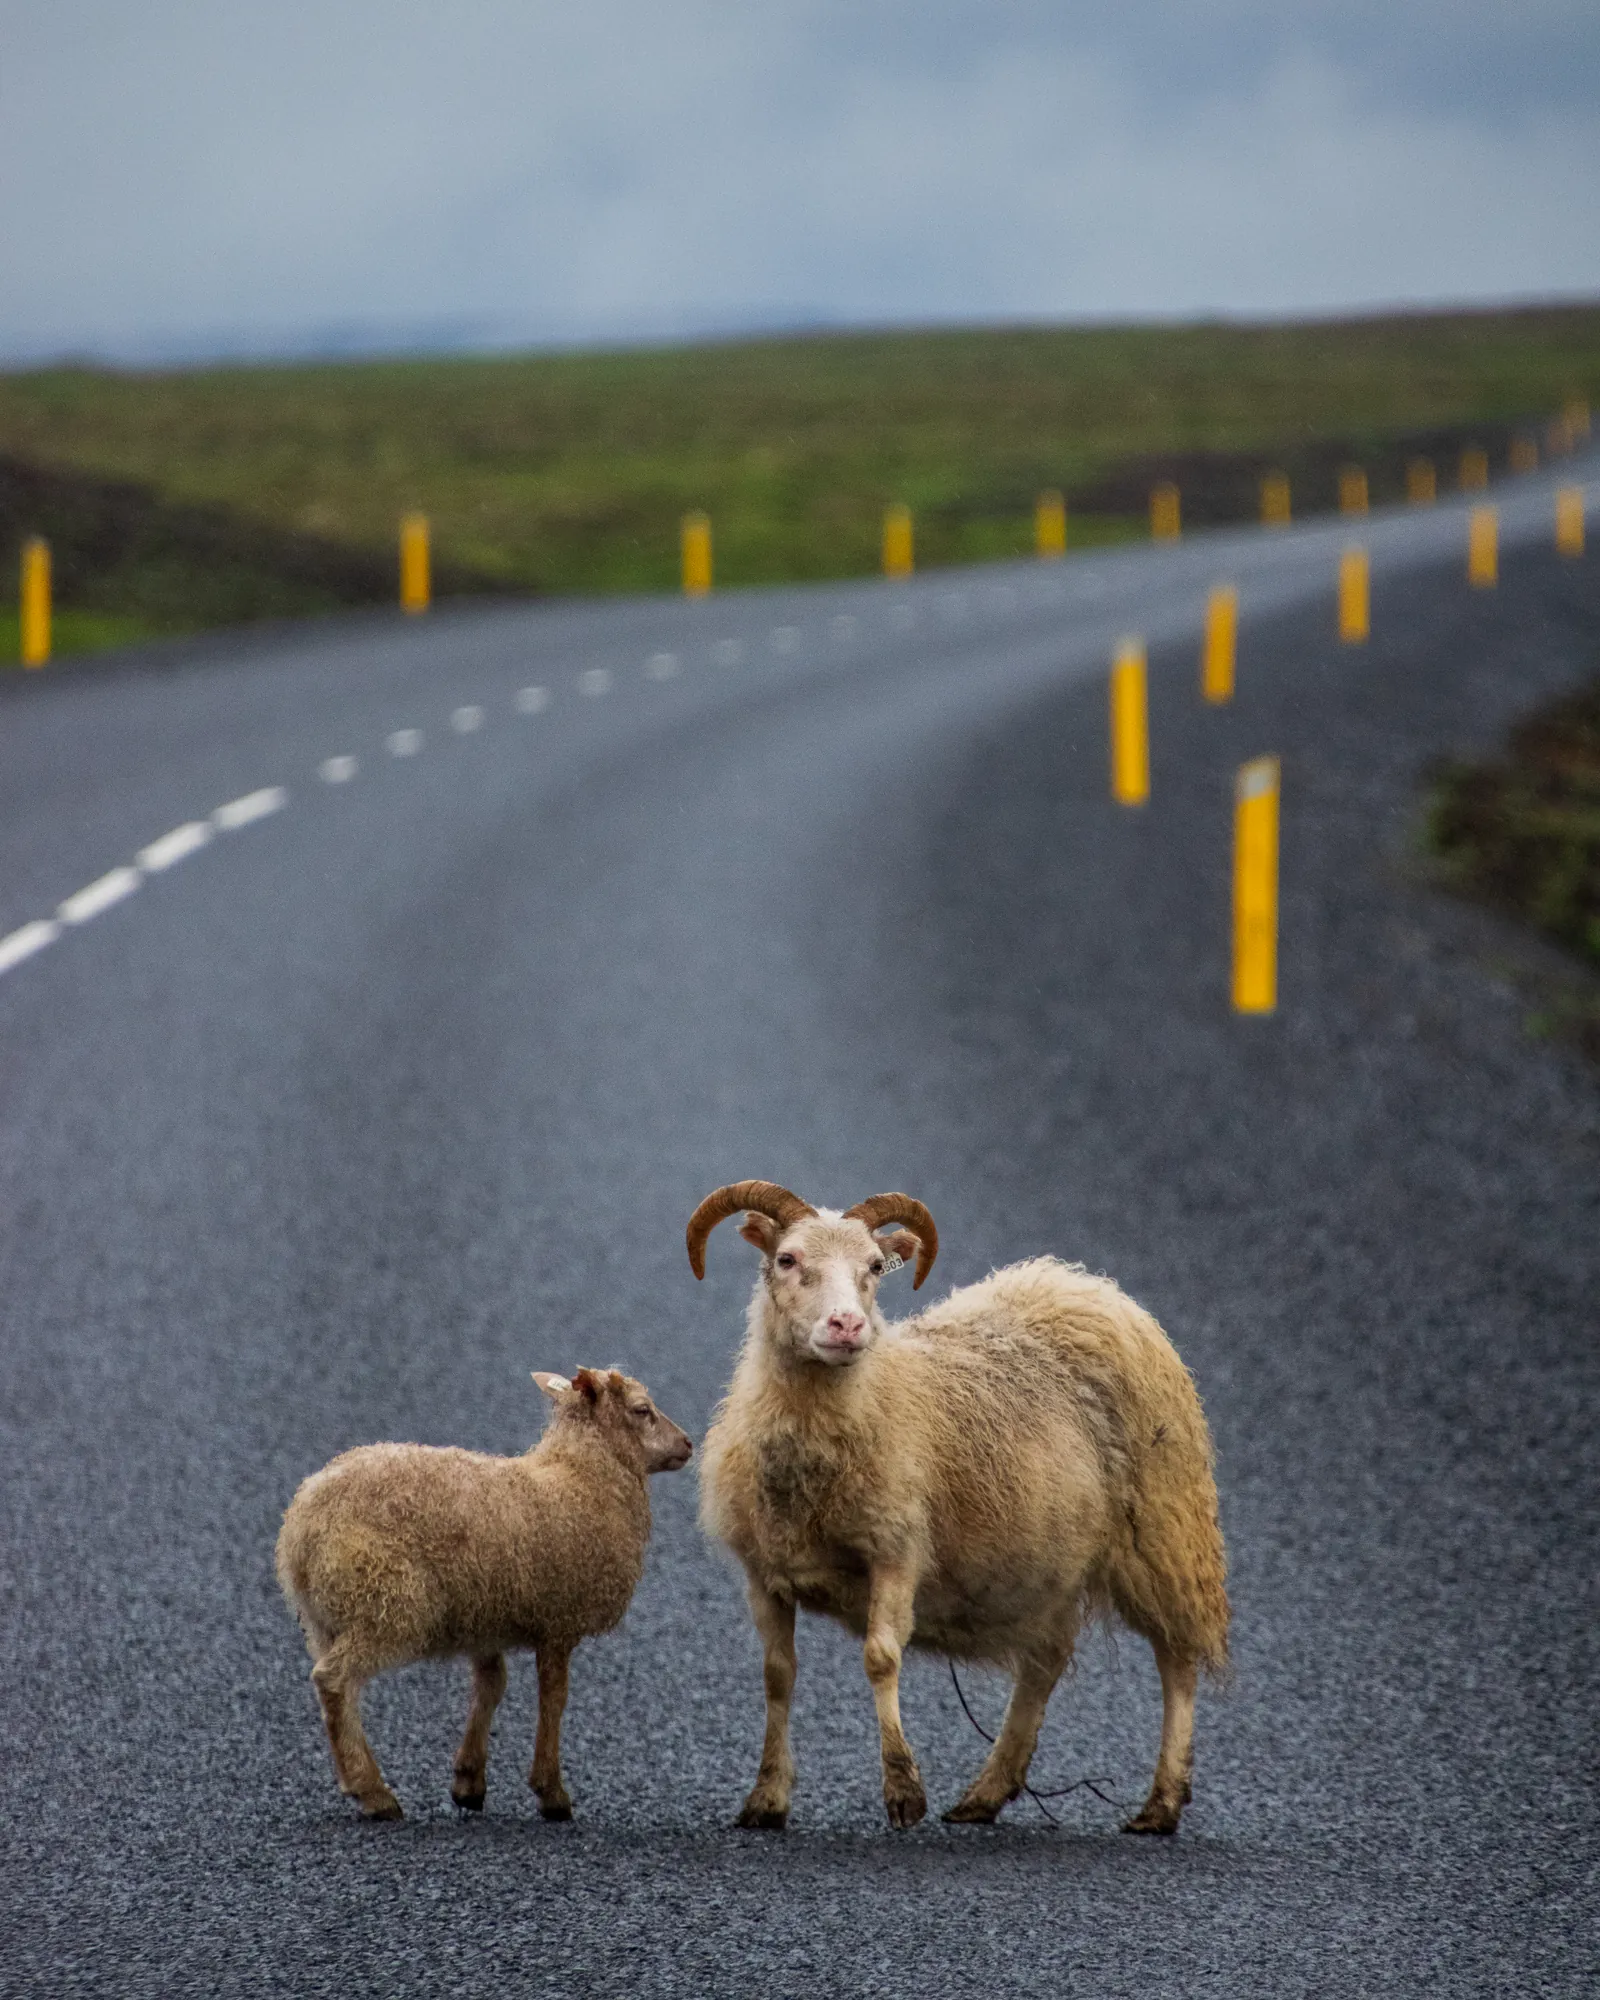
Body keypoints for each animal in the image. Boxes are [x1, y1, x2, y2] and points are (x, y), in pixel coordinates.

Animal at [276, 1368, 688, 1824]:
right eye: (642, 1410)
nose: (688, 1444)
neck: (581, 1476)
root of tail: (302, 1525)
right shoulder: (558, 1623)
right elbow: (554, 1698)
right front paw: (551, 1792)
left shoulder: (486, 1616)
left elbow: (491, 1685)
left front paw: (468, 1781)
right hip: (386, 1606)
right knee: (334, 1681)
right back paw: (373, 1792)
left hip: (326, 1621)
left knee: (338, 1696)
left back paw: (359, 1780)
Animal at [688, 1176, 1224, 1832]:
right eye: (787, 1260)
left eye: (874, 1267)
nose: (846, 1325)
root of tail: (1089, 1286)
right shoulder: (764, 1573)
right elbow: (777, 1676)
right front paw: (766, 1797)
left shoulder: (896, 1549)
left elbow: (881, 1658)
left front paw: (903, 1790)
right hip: (1053, 1561)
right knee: (1044, 1663)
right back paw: (986, 1792)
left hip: (1165, 1532)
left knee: (1177, 1660)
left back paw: (1162, 1802)